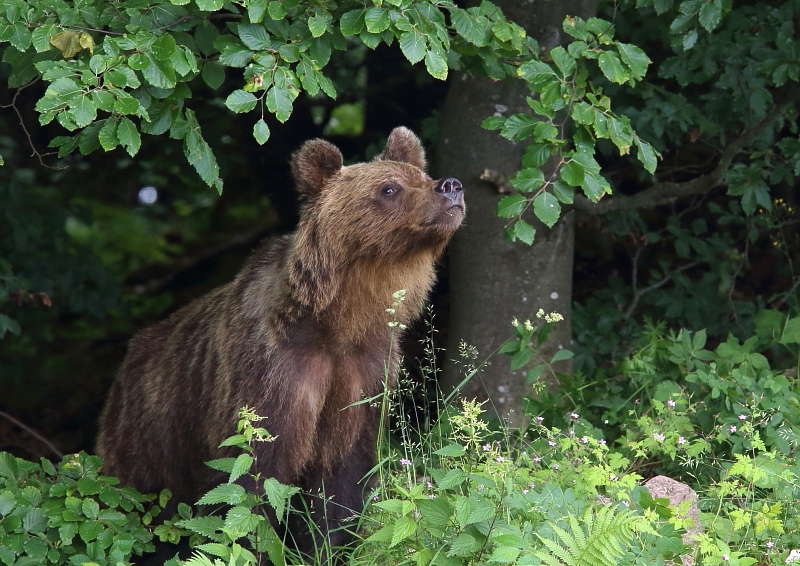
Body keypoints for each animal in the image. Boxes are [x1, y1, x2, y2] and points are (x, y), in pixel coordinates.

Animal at [97, 127, 466, 560]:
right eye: (389, 188)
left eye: (421, 175)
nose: (450, 186)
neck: (339, 322)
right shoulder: (272, 370)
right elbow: (249, 477)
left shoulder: (364, 375)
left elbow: (341, 481)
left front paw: (327, 547)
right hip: (151, 431)